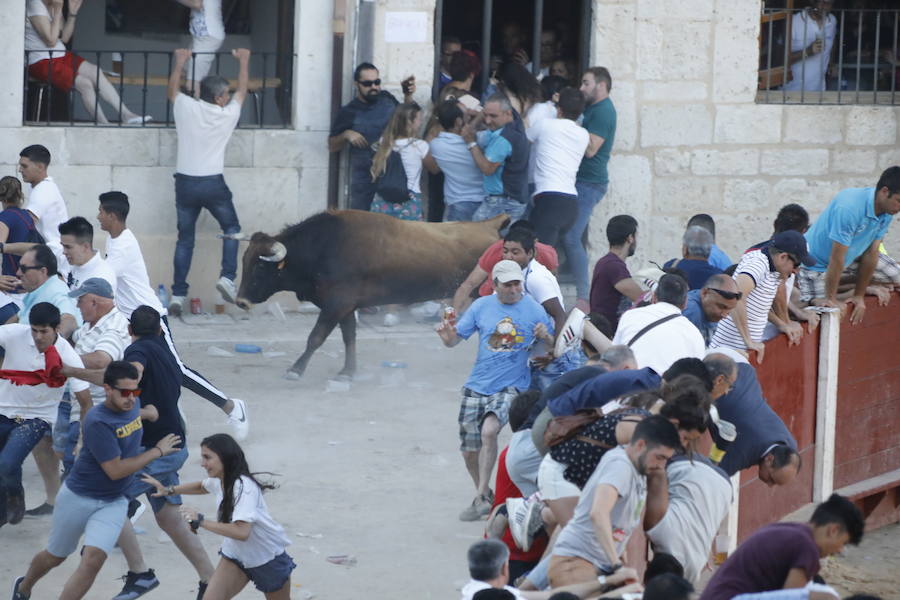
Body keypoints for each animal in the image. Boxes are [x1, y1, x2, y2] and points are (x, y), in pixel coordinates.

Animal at [232, 210, 506, 380]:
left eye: (259, 267)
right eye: (244, 261)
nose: (240, 301)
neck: (323, 247)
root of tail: (490, 225)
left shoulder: (336, 304)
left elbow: (316, 337)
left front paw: (295, 370)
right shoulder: (345, 307)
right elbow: (349, 337)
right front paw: (348, 371)